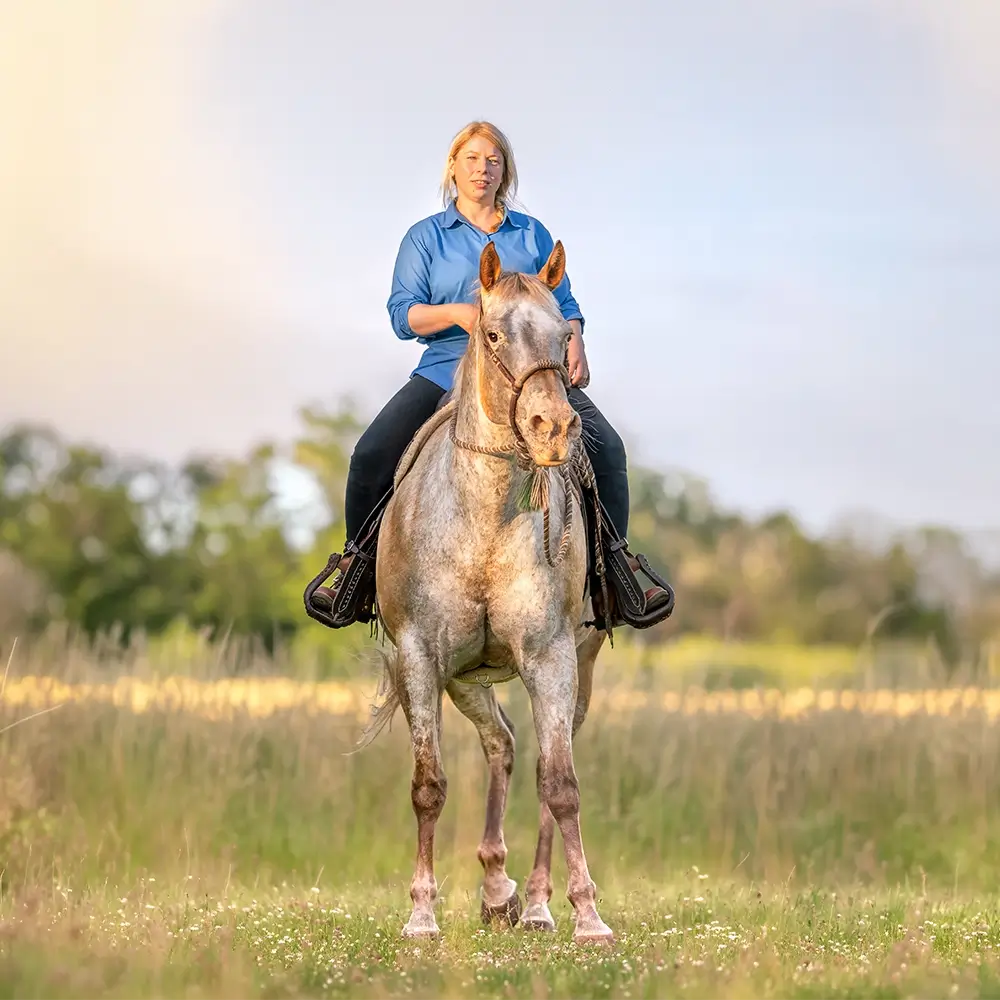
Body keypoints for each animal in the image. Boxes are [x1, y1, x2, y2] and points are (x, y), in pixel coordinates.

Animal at [365, 238, 614, 945]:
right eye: (495, 333)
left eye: (564, 335)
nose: (554, 428)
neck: (483, 518)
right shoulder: (420, 658)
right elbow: (428, 785)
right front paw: (421, 915)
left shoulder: (551, 657)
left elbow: (561, 787)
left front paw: (588, 916)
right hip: (463, 676)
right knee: (500, 742)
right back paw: (497, 888)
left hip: (573, 669)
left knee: (539, 763)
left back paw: (533, 903)